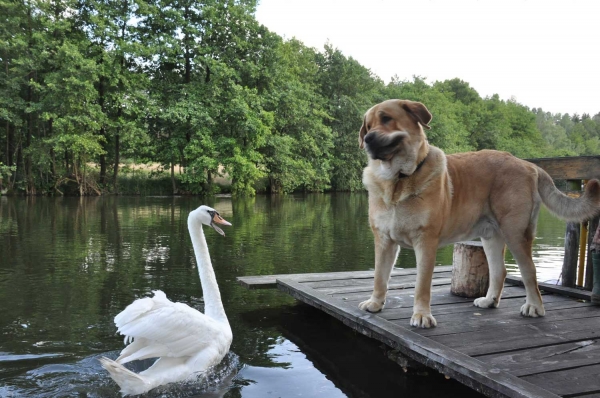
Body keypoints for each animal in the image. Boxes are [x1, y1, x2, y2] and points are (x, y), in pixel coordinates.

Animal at [358, 100, 596, 330]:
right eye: (368, 126)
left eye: (386, 119)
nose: (368, 138)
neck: (398, 180)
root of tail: (529, 164)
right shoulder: (384, 240)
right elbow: (379, 276)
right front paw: (375, 303)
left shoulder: (425, 242)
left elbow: (421, 285)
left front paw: (422, 315)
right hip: (491, 237)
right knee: (500, 271)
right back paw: (489, 301)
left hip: (516, 234)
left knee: (529, 271)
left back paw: (534, 307)